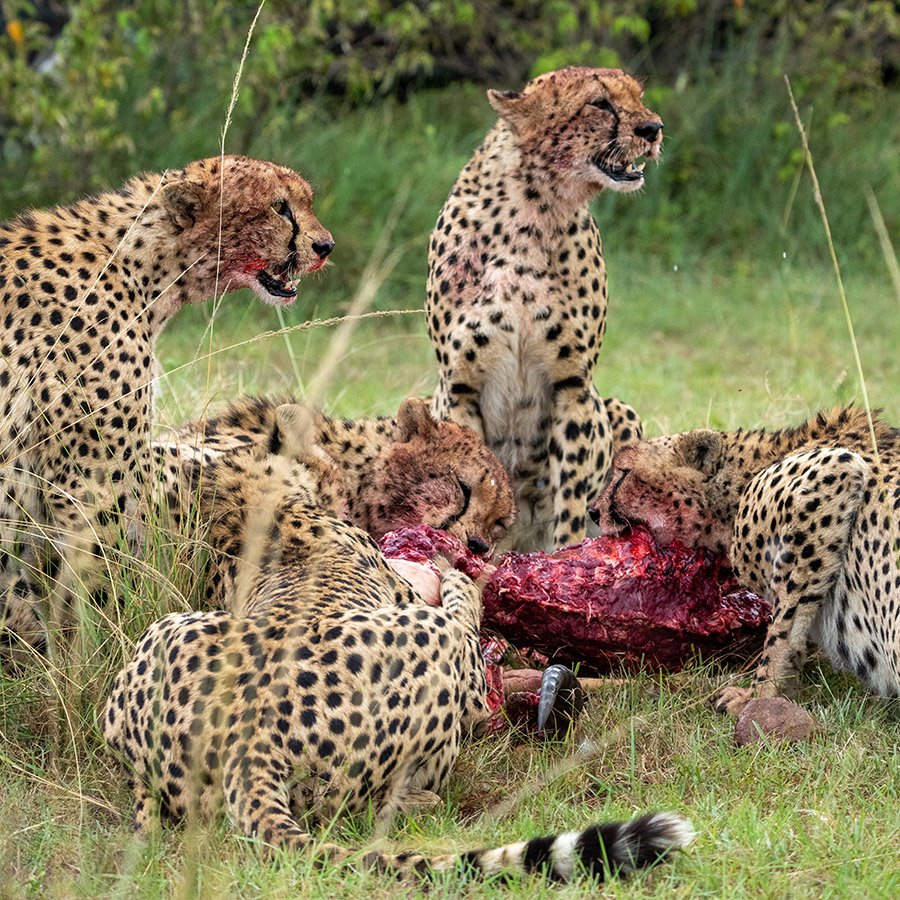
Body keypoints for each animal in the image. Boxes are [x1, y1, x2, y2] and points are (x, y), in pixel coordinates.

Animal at [0, 158, 334, 656]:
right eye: (280, 208)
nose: (326, 246)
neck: (137, 264)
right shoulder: (88, 488)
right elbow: (94, 592)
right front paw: (96, 659)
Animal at [107, 442, 696, 880]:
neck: (255, 507)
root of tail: (249, 739)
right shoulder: (408, 596)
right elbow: (461, 602)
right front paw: (460, 575)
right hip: (428, 661)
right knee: (383, 797)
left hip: (160, 640)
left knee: (146, 809)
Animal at [426, 65, 656, 548]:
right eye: (599, 103)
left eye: (638, 96)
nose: (654, 128)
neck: (535, 209)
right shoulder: (458, 388)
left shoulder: (573, 385)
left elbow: (570, 501)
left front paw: (565, 558)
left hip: (618, 409)